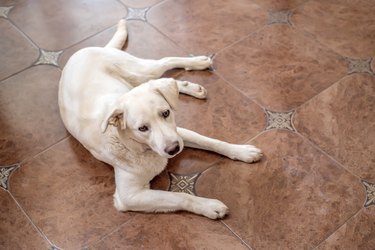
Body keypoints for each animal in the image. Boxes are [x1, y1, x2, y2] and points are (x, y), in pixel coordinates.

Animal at [58, 19, 262, 219]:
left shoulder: (178, 132)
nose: (174, 150)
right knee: (159, 79)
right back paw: (190, 85)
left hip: (141, 71)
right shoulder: (130, 197)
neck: (139, 147)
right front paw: (209, 205)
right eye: (142, 128)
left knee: (165, 63)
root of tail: (84, 51)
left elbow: (212, 142)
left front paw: (241, 151)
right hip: (138, 77)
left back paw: (197, 63)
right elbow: (178, 196)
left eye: (165, 113)